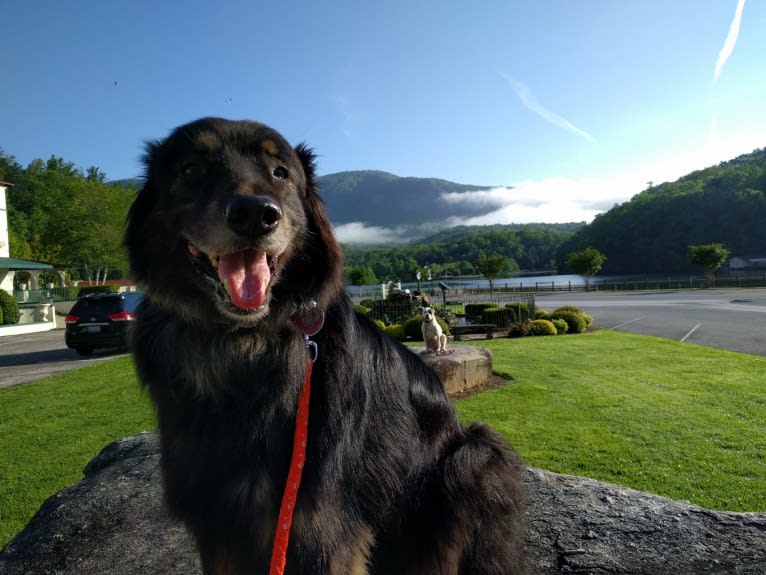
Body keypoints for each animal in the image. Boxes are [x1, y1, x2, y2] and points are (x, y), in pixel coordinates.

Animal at [126, 118, 528, 575]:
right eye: (191, 169)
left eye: (280, 172)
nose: (255, 215)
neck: (243, 343)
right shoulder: (218, 522)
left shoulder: (321, 523)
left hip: (473, 458)